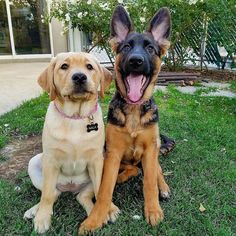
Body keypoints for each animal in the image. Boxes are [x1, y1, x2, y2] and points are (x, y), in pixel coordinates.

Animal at [23, 52, 119, 233]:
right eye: (64, 66)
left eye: (89, 67)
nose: (80, 77)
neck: (75, 117)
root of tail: (70, 187)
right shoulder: (51, 160)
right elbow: (46, 195)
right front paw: (42, 218)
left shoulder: (96, 160)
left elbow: (101, 189)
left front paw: (107, 210)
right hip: (36, 162)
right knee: (51, 194)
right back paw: (34, 211)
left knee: (82, 197)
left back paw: (94, 215)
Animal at [79, 5, 171, 232]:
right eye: (127, 47)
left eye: (150, 49)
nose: (135, 61)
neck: (134, 109)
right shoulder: (113, 153)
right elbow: (104, 188)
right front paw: (95, 219)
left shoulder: (150, 149)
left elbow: (149, 181)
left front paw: (153, 210)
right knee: (132, 169)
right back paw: (124, 176)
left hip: (154, 149)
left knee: (156, 170)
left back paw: (163, 187)